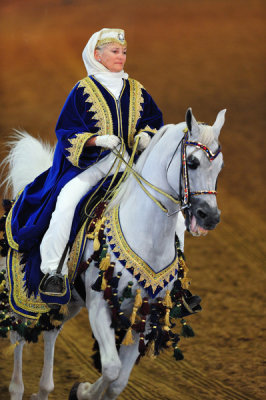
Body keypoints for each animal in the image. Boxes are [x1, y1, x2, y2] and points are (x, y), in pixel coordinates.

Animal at [2, 107, 225, 400]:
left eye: (220, 166)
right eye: (193, 161)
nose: (210, 216)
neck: (146, 236)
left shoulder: (146, 314)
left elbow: (119, 381)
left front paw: (85, 391)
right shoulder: (99, 307)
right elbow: (111, 368)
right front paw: (84, 391)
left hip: (69, 302)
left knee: (51, 330)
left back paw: (43, 390)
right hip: (22, 296)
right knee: (19, 334)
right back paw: (18, 388)